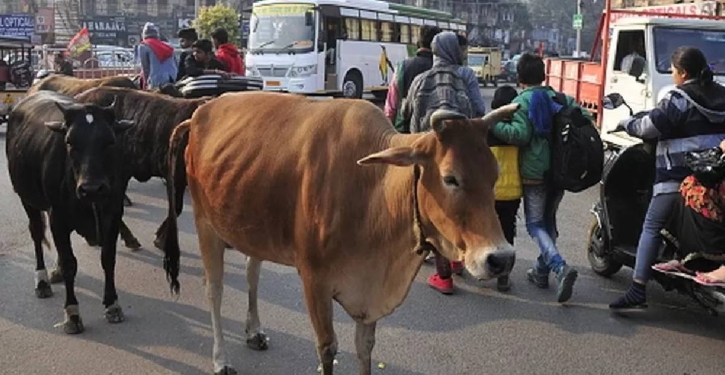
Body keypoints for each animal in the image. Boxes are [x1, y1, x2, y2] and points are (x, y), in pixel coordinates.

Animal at [6, 91, 134, 334]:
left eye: (110, 142)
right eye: (70, 142)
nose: (91, 188)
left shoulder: (113, 214)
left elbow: (108, 258)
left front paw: (112, 304)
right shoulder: (58, 217)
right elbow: (69, 264)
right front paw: (72, 313)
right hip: (27, 199)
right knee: (36, 234)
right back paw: (42, 281)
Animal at [161, 92, 516, 375]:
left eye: (495, 174)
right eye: (450, 178)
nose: (501, 258)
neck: (373, 191)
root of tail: (200, 112)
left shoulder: (368, 293)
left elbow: (365, 348)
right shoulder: (314, 281)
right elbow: (328, 349)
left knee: (252, 273)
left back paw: (254, 331)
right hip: (206, 223)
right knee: (215, 290)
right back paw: (221, 359)